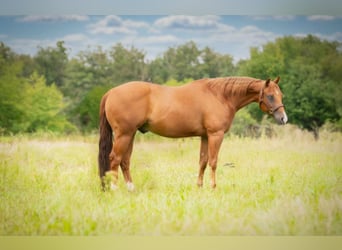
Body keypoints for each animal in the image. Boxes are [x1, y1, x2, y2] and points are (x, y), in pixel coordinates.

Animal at [97, 75, 288, 189]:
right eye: (270, 96)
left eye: (281, 95)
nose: (283, 119)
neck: (220, 96)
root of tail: (111, 92)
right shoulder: (215, 135)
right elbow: (213, 162)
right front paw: (213, 187)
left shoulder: (205, 136)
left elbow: (202, 161)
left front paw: (199, 187)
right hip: (124, 135)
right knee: (115, 159)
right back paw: (114, 189)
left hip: (130, 135)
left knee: (125, 161)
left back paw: (131, 190)